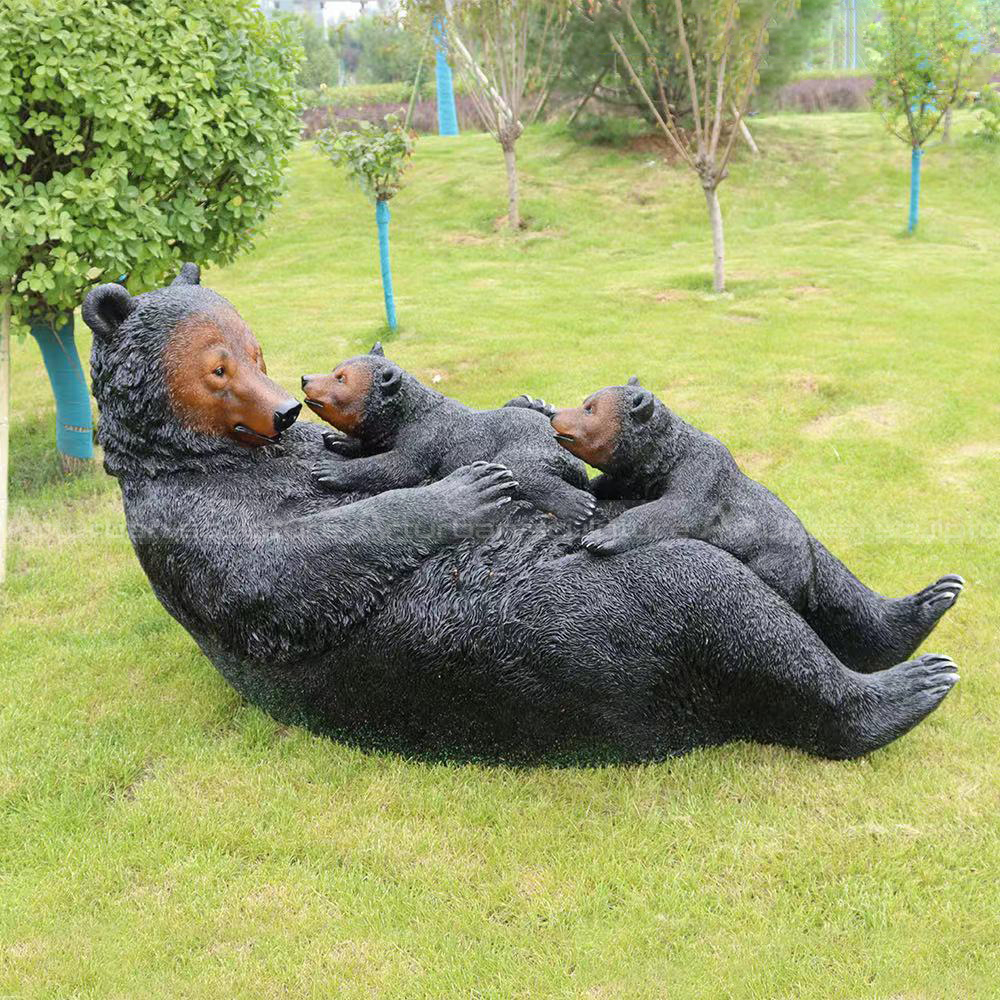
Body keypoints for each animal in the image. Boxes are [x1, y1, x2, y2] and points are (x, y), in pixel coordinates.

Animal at [301, 344, 596, 526]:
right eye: (334, 369)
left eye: (341, 378)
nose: (306, 378)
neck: (408, 413)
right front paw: (339, 439)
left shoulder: (428, 434)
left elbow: (401, 466)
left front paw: (331, 469)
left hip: (530, 444)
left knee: (523, 470)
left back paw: (577, 505)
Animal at [542, 377, 964, 674]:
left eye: (589, 408)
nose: (554, 414)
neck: (658, 462)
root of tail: (808, 575)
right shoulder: (632, 479)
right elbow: (602, 486)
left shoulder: (700, 477)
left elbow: (674, 511)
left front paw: (600, 537)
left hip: (775, 561)